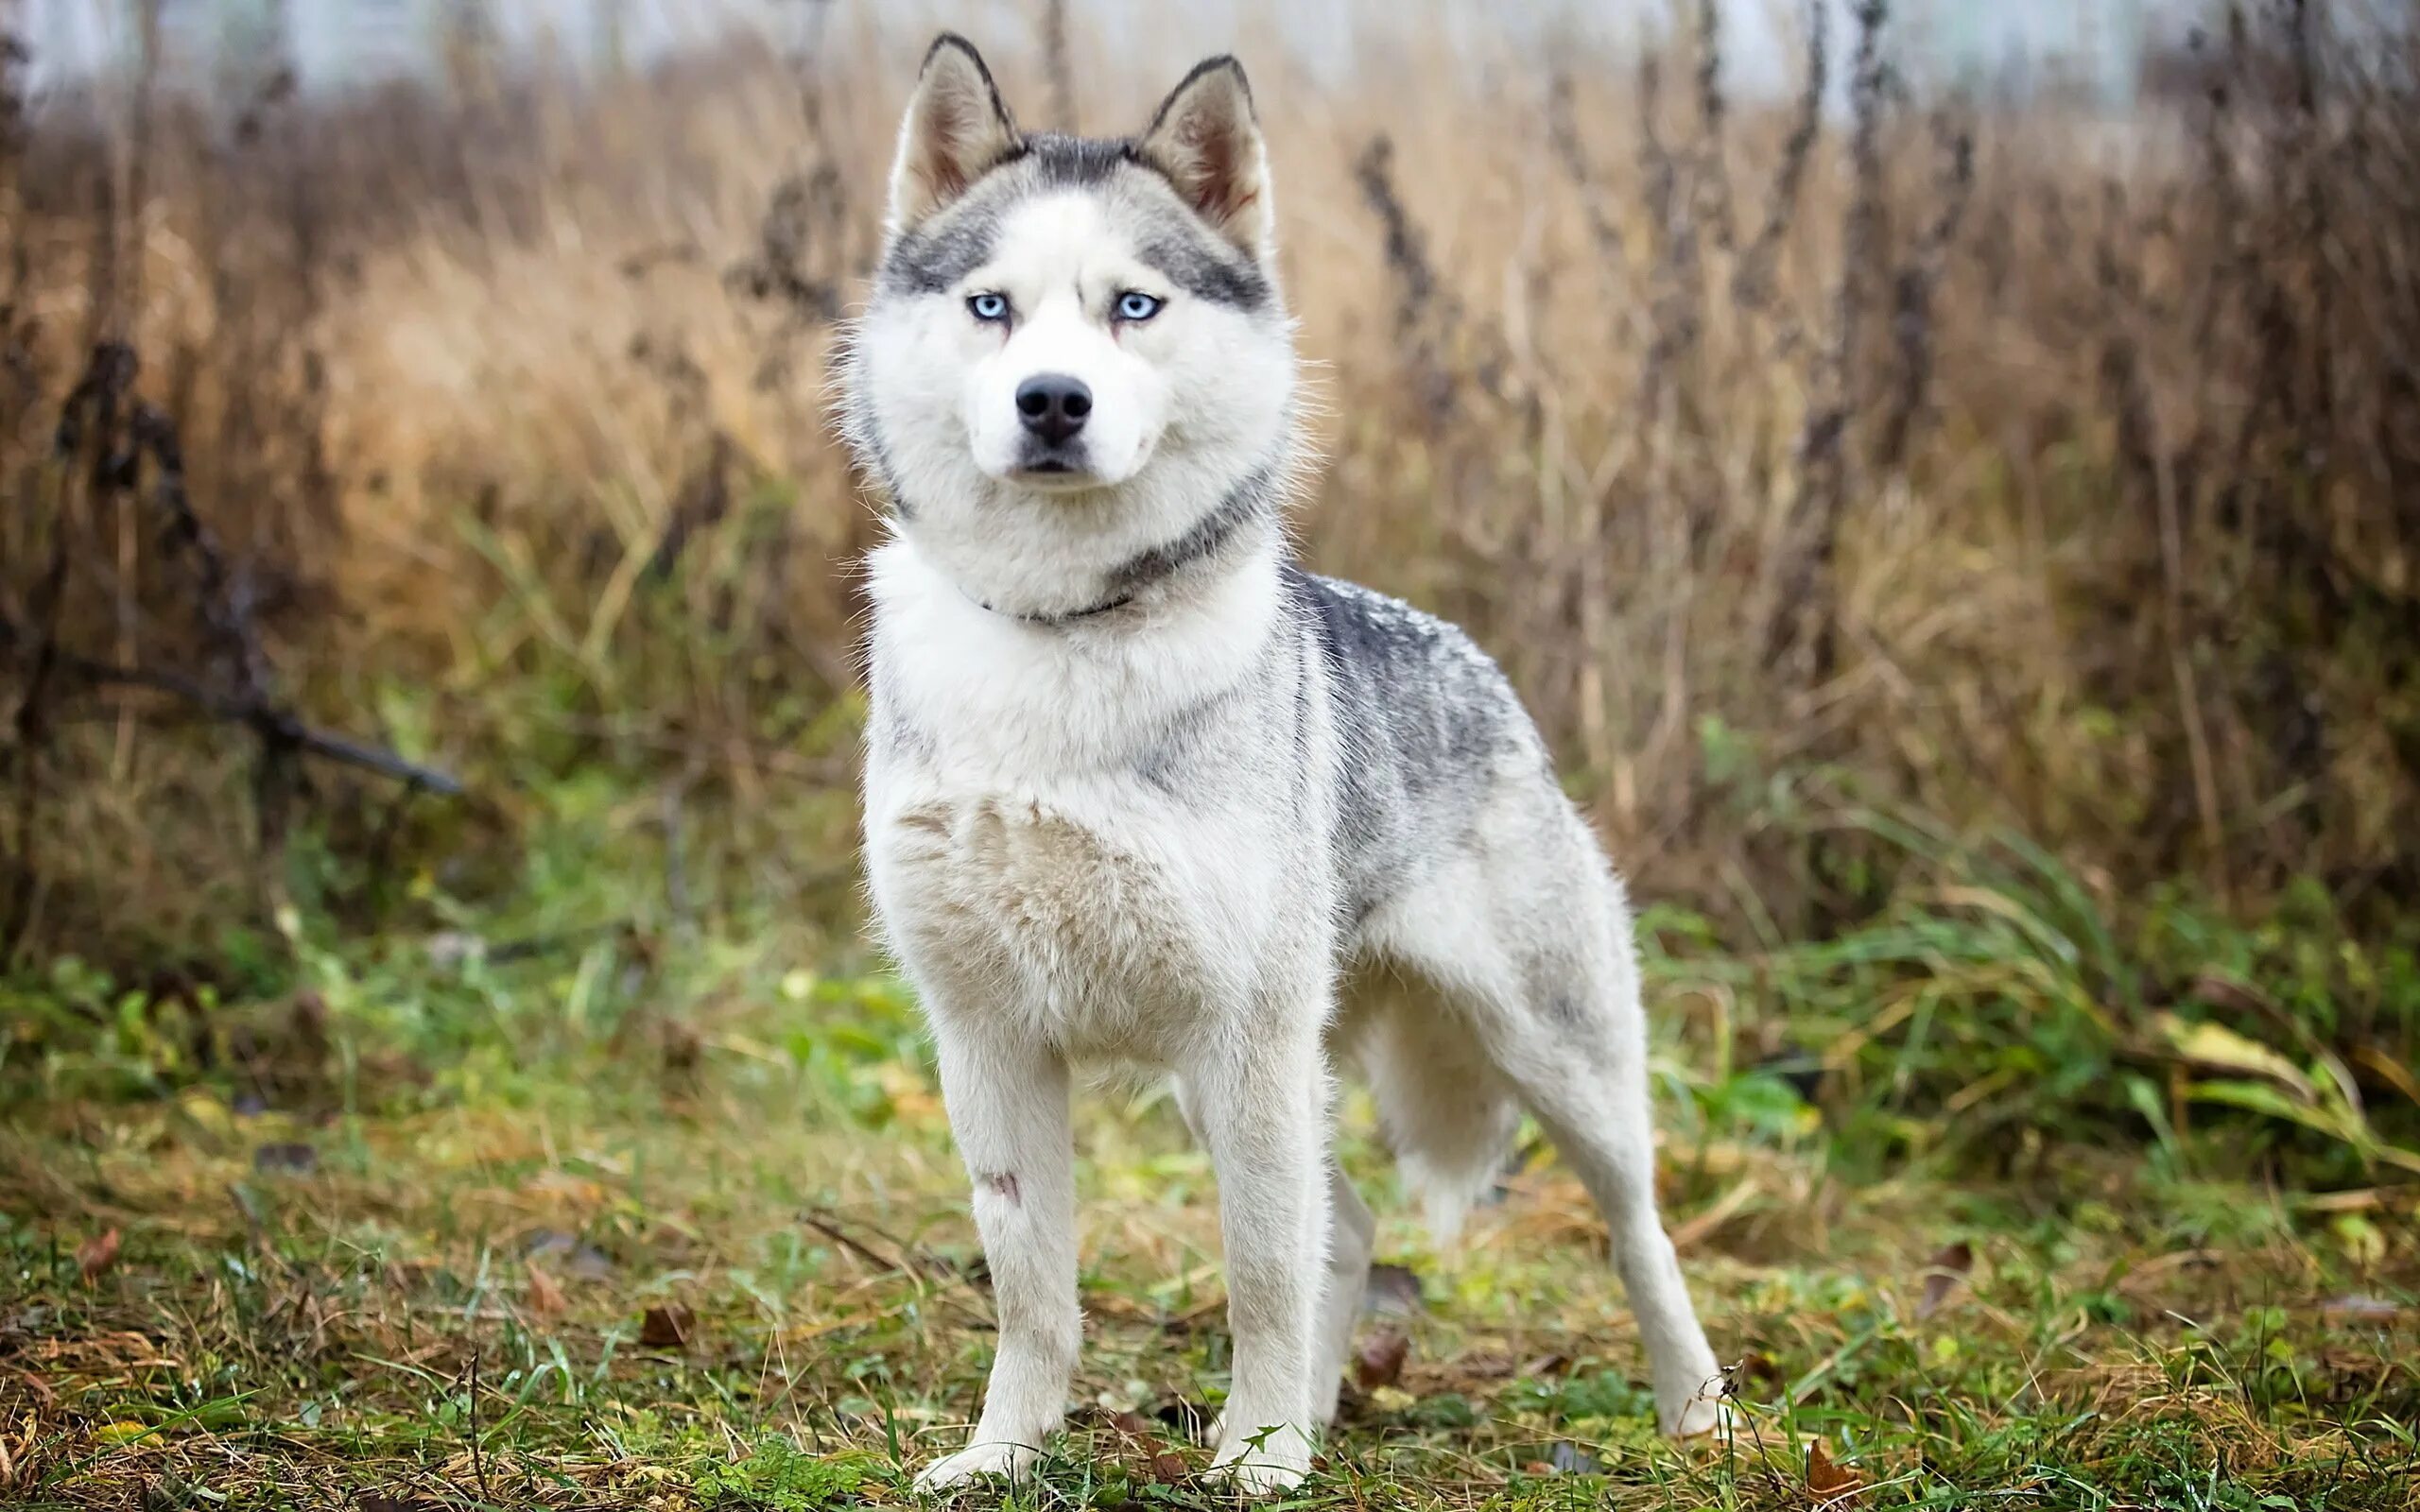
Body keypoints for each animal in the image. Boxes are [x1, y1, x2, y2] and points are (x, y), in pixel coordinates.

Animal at [841, 32, 1732, 1489]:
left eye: (1133, 307)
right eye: (992, 308)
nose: (1052, 402)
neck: (1063, 631)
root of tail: (1490, 677)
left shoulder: (1245, 1041)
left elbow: (1259, 1271)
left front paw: (1257, 1460)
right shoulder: (988, 1042)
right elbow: (1034, 1287)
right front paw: (1007, 1456)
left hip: (1551, 1061)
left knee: (1634, 1231)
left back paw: (1697, 1414)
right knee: (1353, 1230)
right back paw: (1303, 1420)